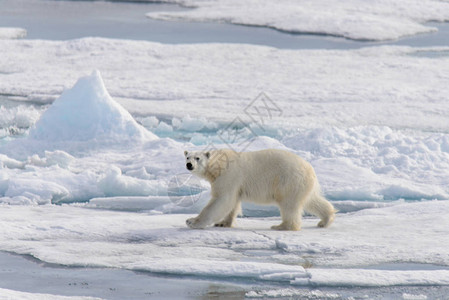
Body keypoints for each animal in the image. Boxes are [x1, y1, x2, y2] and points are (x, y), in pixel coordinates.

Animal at [184, 149, 334, 231]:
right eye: (187, 157)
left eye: (198, 158)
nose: (189, 165)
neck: (218, 164)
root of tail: (310, 169)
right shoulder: (234, 183)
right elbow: (233, 202)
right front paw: (223, 223)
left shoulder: (228, 175)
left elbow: (222, 200)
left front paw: (192, 222)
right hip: (302, 184)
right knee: (312, 201)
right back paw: (325, 220)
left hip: (288, 180)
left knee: (289, 204)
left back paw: (281, 226)